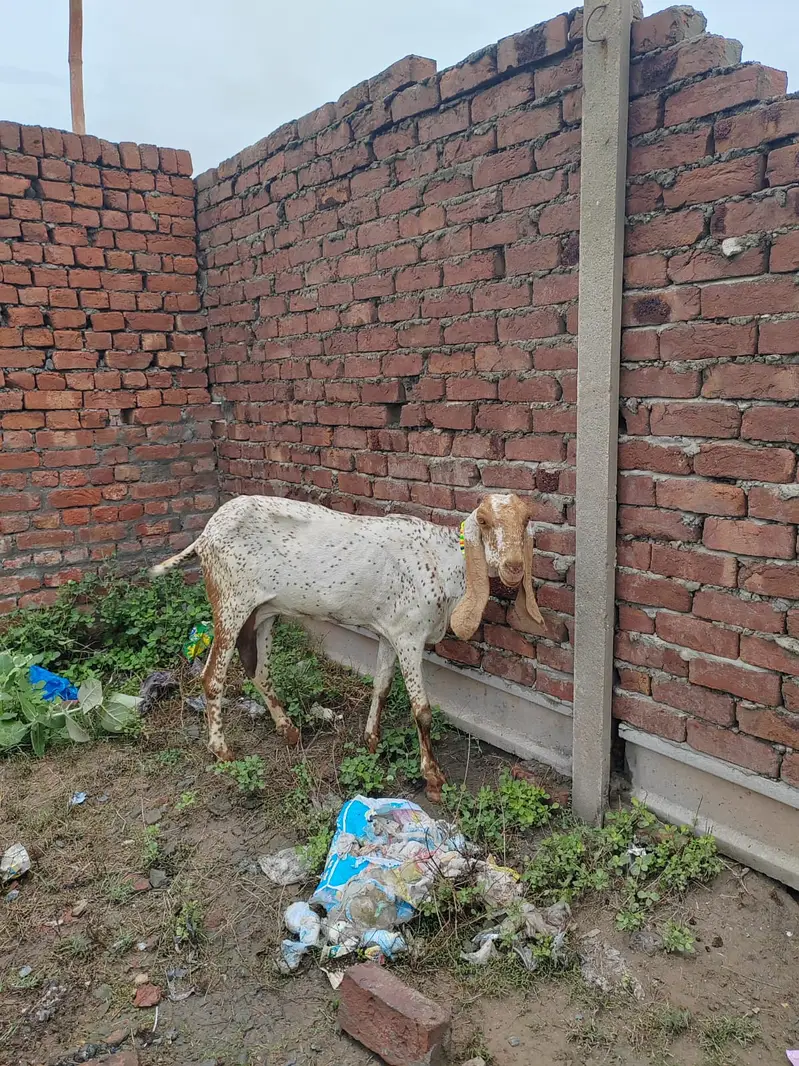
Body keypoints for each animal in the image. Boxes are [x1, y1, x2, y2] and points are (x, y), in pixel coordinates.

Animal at [149, 492, 544, 799]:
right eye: (484, 521)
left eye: (526, 520)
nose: (513, 567)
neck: (441, 561)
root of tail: (205, 534)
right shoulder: (409, 635)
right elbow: (422, 711)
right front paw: (433, 777)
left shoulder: (389, 632)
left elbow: (381, 687)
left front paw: (370, 741)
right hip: (231, 603)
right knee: (212, 678)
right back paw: (222, 751)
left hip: (262, 612)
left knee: (259, 670)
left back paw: (289, 730)